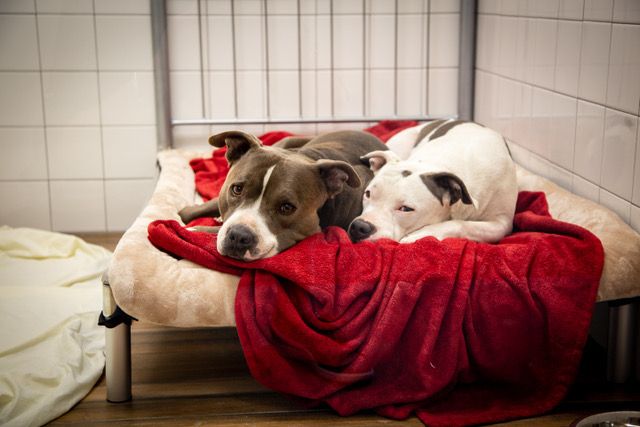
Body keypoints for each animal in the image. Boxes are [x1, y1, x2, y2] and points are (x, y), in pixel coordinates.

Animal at [348, 120, 516, 246]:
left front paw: (421, 234)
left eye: (406, 209)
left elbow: (462, 224)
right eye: (368, 194)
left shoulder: (502, 223)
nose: (360, 227)